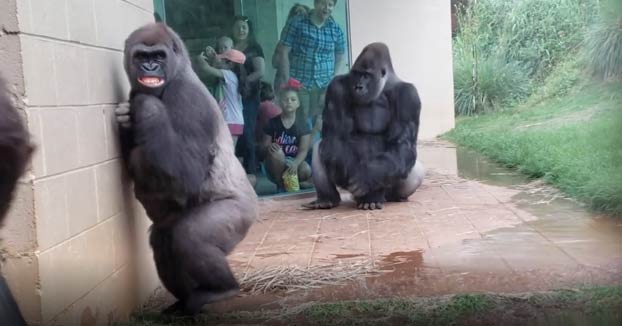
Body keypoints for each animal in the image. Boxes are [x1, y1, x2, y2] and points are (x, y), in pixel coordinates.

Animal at [114, 23, 256, 316]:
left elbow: (187, 173)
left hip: (242, 214)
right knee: (162, 241)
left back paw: (222, 289)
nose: (150, 68)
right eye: (141, 56)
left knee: (190, 237)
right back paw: (183, 300)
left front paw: (148, 106)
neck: (180, 71)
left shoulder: (187, 98)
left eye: (158, 56)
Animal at [304, 42, 426, 210]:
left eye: (366, 75)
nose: (358, 87)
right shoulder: (336, 87)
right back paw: (327, 199)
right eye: (356, 74)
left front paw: (367, 178)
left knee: (414, 168)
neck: (382, 87)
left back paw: (393, 197)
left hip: (388, 191)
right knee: (321, 146)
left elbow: (402, 145)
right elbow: (336, 137)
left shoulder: (409, 96)